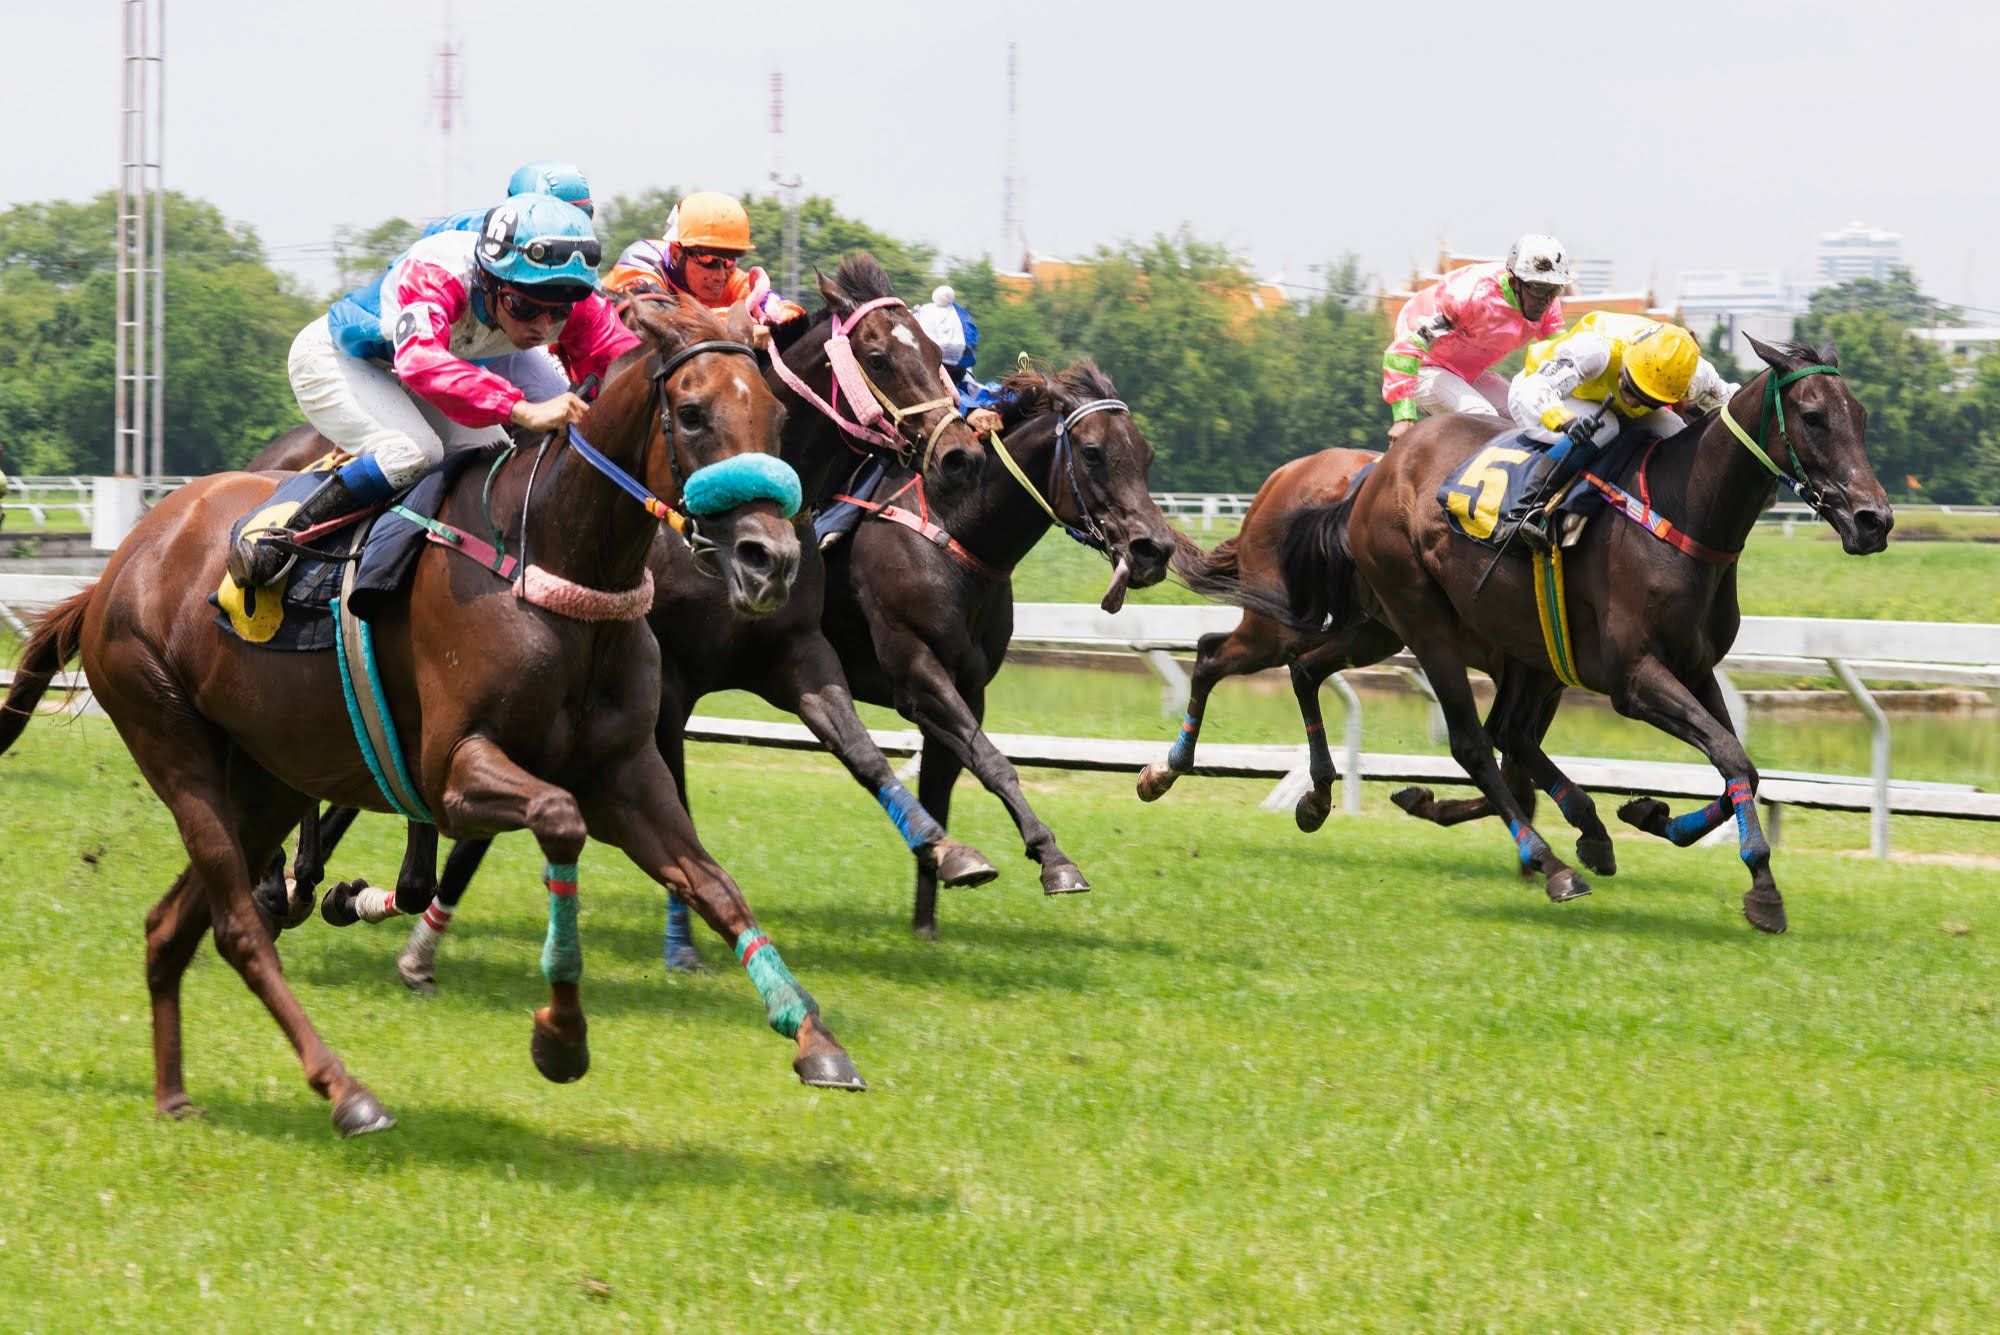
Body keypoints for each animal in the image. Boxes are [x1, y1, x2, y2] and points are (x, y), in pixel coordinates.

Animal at [1, 297, 876, 1135]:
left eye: (776, 414)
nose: (772, 560)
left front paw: (815, 1038)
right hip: (170, 735)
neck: (549, 558)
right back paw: (348, 1092)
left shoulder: (626, 775)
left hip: (267, 776)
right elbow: (558, 822)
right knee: (236, 928)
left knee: (169, 925)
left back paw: (175, 1096)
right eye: (691, 413)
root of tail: (114, 569)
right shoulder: (455, 770)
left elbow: (716, 885)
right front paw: (561, 1034)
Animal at [1272, 339, 1896, 935]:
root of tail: (1379, 470)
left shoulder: (1695, 668)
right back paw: (1551, 864)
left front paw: (1655, 817)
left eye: (1862, 416)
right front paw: (1763, 889)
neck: (1682, 511)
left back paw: (1322, 798)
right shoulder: (1635, 678)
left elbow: (1738, 763)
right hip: (1424, 620)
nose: (1875, 521)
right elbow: (1732, 758)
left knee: (1322, 672)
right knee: (1473, 743)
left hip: (1429, 631)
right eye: (1813, 417)